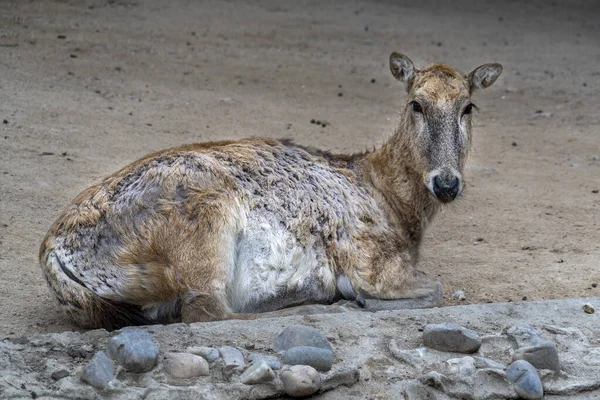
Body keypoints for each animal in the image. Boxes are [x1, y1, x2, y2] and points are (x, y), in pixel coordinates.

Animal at [38, 52, 502, 328]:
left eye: (468, 106)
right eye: (416, 104)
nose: (446, 182)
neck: (394, 204)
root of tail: (54, 254)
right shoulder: (372, 262)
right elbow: (436, 289)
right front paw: (356, 299)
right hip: (205, 225)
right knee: (206, 310)